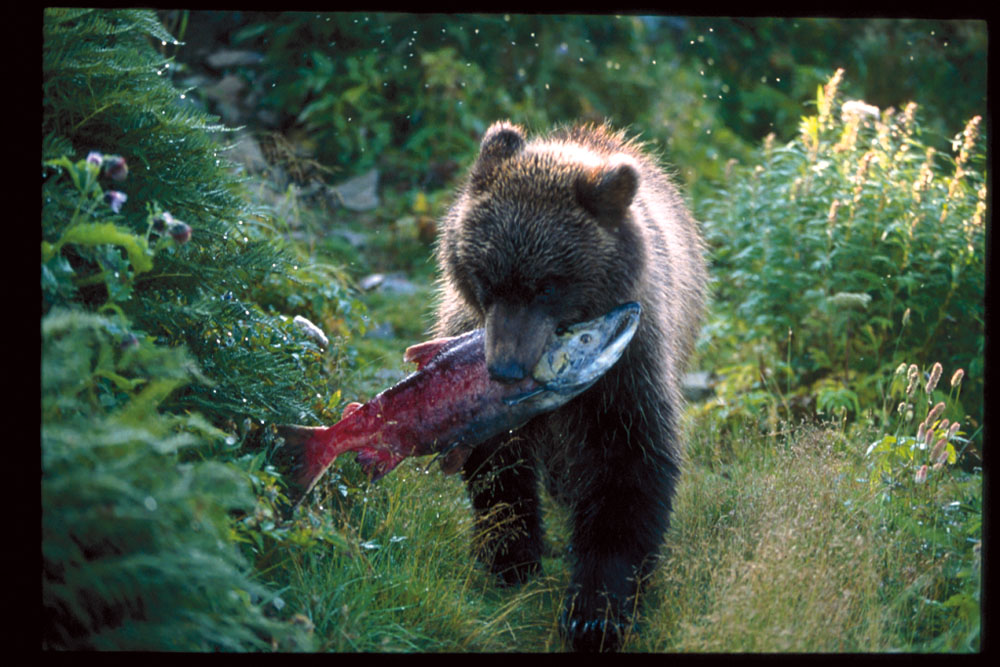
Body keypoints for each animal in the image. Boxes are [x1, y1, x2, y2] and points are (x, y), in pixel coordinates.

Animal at [434, 121, 708, 652]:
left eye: (548, 285)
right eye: (486, 277)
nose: (505, 367)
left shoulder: (629, 372)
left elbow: (629, 468)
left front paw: (595, 613)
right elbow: (498, 463)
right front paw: (510, 555)